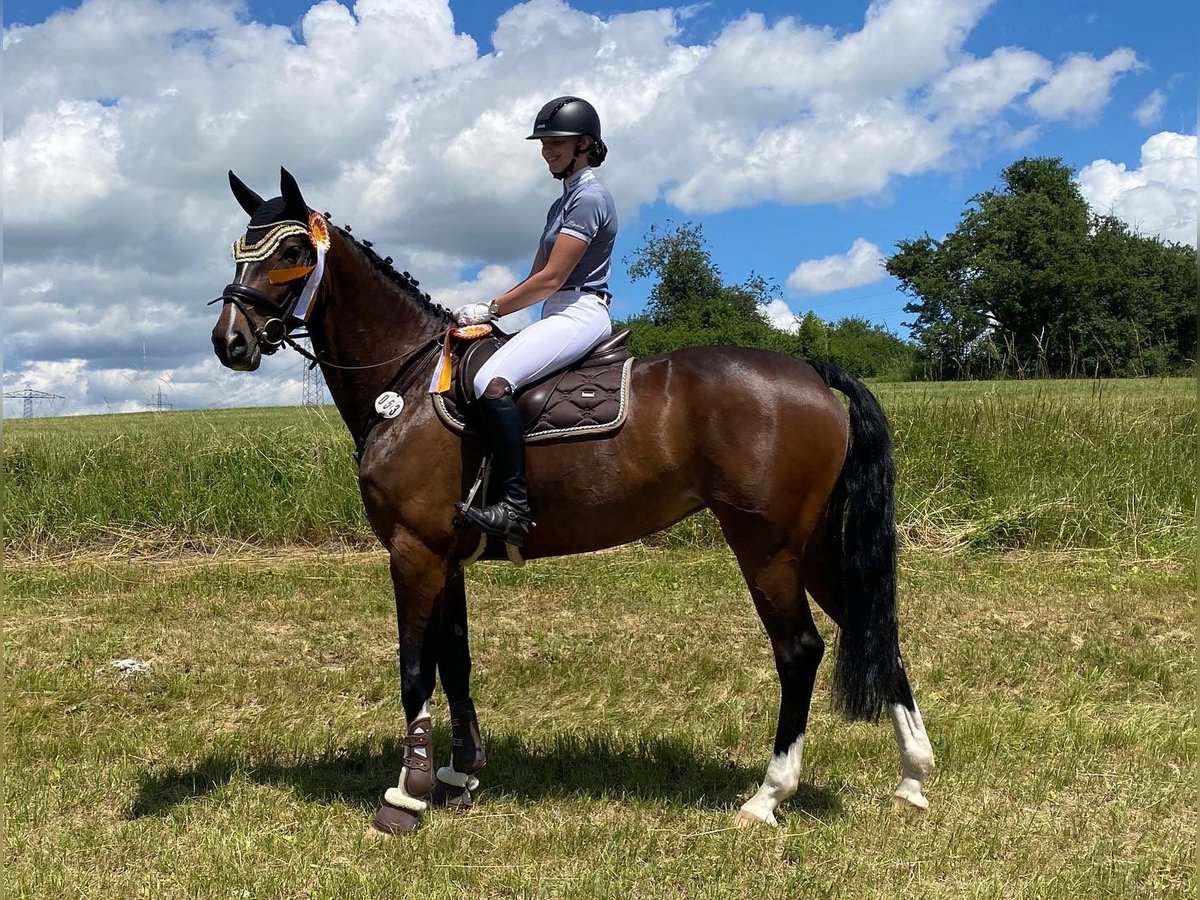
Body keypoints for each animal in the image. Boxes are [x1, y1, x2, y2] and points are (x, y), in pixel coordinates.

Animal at [211, 168, 931, 840]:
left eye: (291, 250)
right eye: (238, 250)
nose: (229, 341)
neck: (409, 384)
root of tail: (811, 371)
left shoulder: (414, 552)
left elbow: (416, 669)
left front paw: (406, 796)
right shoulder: (447, 557)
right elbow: (456, 661)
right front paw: (458, 776)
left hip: (768, 547)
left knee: (800, 650)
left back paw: (767, 796)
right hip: (814, 546)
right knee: (873, 628)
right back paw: (913, 780)